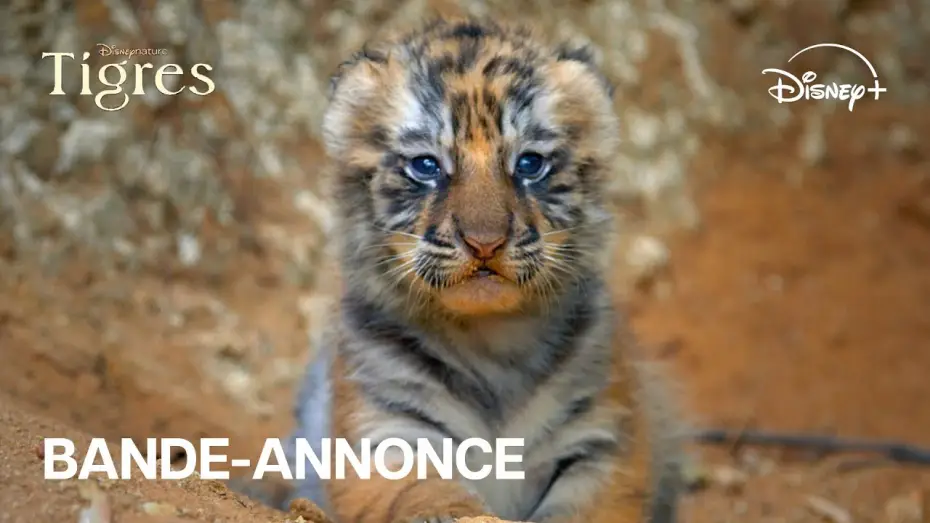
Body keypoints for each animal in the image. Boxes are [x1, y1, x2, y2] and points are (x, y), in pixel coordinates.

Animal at [274, 16, 686, 523]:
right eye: (427, 166)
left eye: (529, 164)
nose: (484, 242)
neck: (492, 342)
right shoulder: (382, 432)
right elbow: (426, 491)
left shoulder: (604, 440)